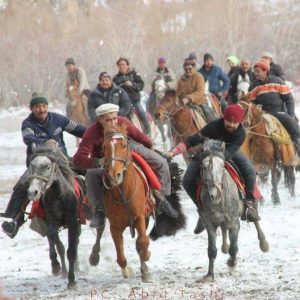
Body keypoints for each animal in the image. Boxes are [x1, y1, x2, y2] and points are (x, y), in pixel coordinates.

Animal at [198, 139, 268, 282]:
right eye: (204, 167)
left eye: (222, 166)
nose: (215, 194)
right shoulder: (210, 224)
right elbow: (211, 250)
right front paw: (209, 275)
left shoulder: (234, 223)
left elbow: (234, 247)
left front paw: (232, 262)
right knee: (224, 231)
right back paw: (224, 247)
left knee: (255, 221)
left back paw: (263, 243)